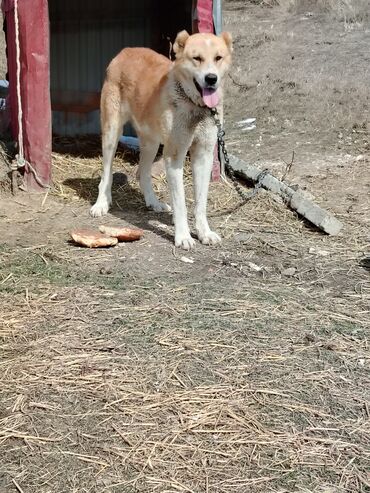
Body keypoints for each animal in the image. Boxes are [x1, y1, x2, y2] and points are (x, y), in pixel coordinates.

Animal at [90, 28, 233, 248]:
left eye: (218, 58)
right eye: (197, 58)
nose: (211, 78)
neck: (194, 106)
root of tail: (125, 51)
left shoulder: (204, 154)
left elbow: (200, 202)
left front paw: (204, 232)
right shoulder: (174, 157)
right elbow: (181, 202)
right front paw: (183, 236)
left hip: (151, 143)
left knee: (143, 173)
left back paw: (153, 202)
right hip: (111, 134)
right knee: (106, 175)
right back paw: (101, 204)